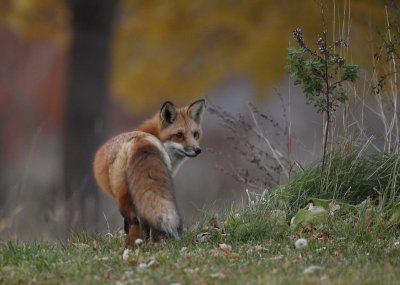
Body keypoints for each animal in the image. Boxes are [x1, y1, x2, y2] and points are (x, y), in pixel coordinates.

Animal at [93, 98, 205, 245]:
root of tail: (141, 141)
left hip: (124, 196)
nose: (198, 150)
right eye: (179, 135)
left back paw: (134, 245)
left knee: (135, 221)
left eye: (195, 134)